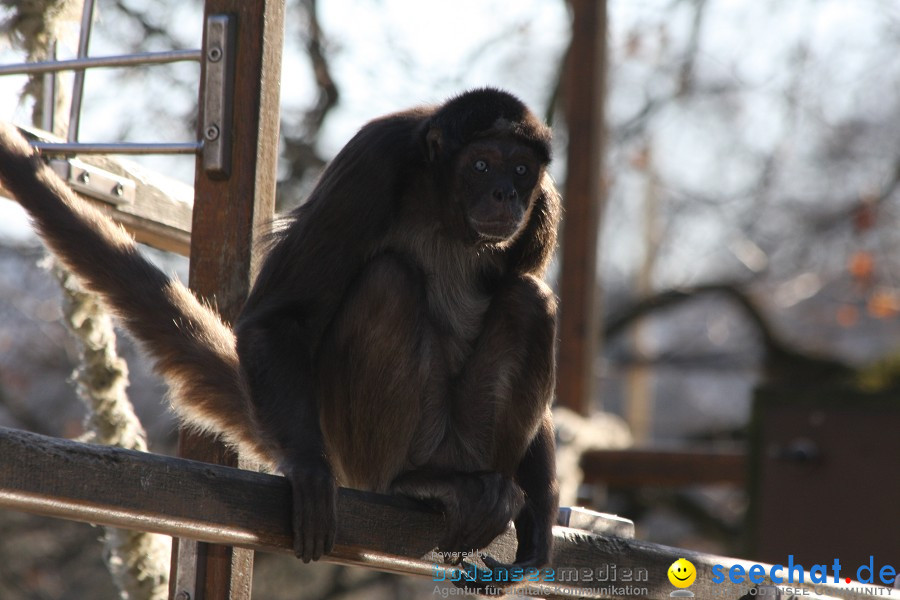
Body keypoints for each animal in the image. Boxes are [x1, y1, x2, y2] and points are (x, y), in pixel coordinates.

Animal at [0, 86, 564, 576]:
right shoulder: (374, 158)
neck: (448, 217)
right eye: (481, 164)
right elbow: (280, 316)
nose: (505, 194)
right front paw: (308, 470)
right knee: (390, 280)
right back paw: (411, 482)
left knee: (528, 298)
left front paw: (542, 512)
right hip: (362, 443)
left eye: (521, 169)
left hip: (471, 446)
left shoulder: (544, 208)